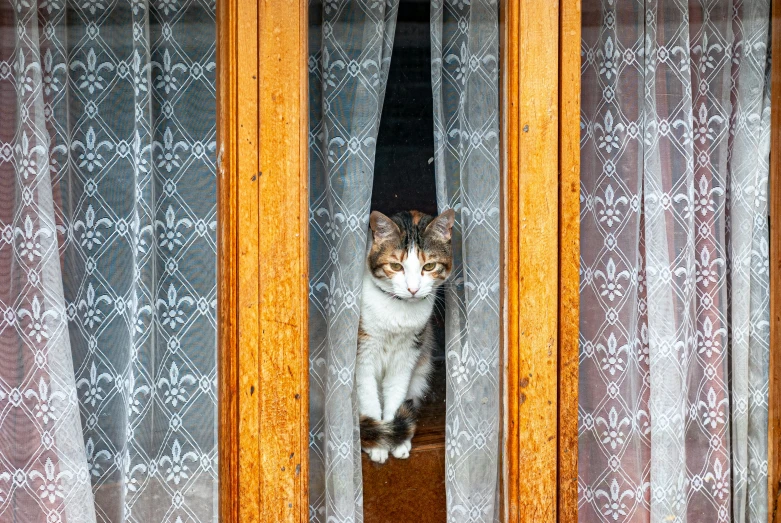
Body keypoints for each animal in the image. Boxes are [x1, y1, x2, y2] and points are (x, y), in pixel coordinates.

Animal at [354, 209, 450, 462]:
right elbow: (368, 396)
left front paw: (397, 441)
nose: (413, 289)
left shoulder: (408, 353)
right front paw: (378, 447)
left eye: (429, 266)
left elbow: (396, 391)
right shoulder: (363, 353)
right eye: (396, 266)